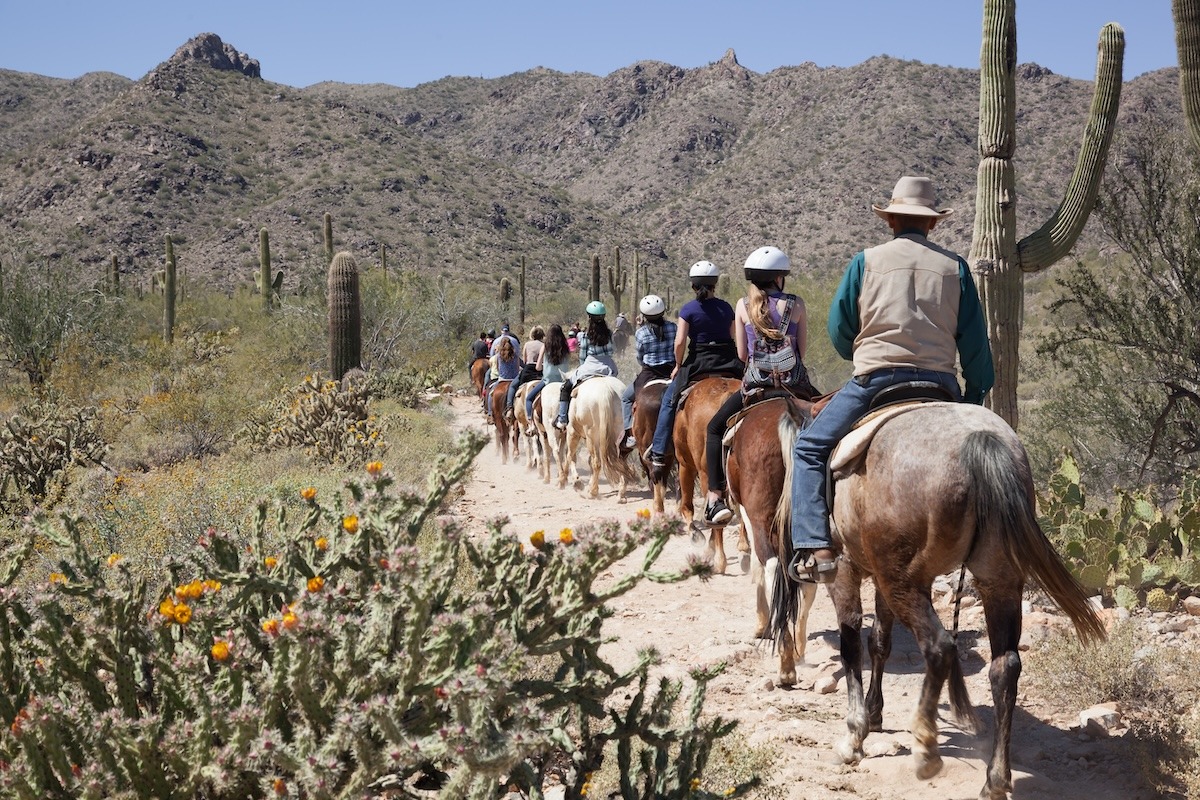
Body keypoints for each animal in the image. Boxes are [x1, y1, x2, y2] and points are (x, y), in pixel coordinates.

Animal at [667, 376, 748, 575]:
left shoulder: (685, 465)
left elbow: (687, 505)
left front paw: (695, 534)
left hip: (704, 472)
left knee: (718, 514)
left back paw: (720, 561)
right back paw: (743, 550)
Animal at [720, 393, 816, 690]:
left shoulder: (749, 516)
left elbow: (756, 567)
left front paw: (762, 622)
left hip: (761, 515)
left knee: (773, 566)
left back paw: (785, 665)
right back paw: (798, 648)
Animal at [768, 400, 1104, 800]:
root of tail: (980, 442)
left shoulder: (846, 572)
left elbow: (852, 648)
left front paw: (854, 735)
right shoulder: (882, 580)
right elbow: (879, 642)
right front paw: (875, 713)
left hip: (906, 582)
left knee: (941, 647)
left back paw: (927, 747)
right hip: (995, 580)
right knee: (1004, 666)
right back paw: (995, 779)